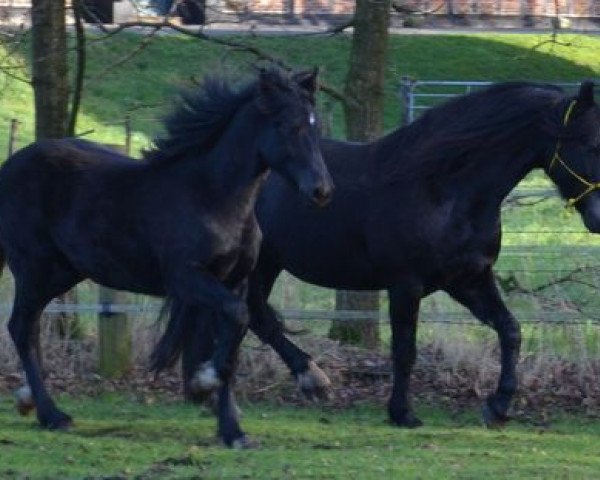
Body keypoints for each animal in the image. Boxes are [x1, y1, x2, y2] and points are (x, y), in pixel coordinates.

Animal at [3, 67, 332, 446]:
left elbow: (234, 337)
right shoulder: (186, 278)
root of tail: (9, 165)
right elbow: (236, 319)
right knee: (20, 327)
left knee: (30, 326)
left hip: (61, 273)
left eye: (316, 127)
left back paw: (28, 401)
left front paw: (233, 431)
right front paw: (204, 382)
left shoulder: (233, 282)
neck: (211, 197)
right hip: (34, 268)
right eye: (287, 125)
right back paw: (51, 414)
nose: (322, 190)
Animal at [183, 80, 600, 430]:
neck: (443, 188)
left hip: (264, 264)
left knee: (249, 315)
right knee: (251, 315)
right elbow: (404, 350)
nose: (598, 218)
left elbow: (510, 330)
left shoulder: (469, 279)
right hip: (258, 265)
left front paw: (497, 407)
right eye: (589, 144)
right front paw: (402, 413)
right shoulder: (405, 285)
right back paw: (303, 380)